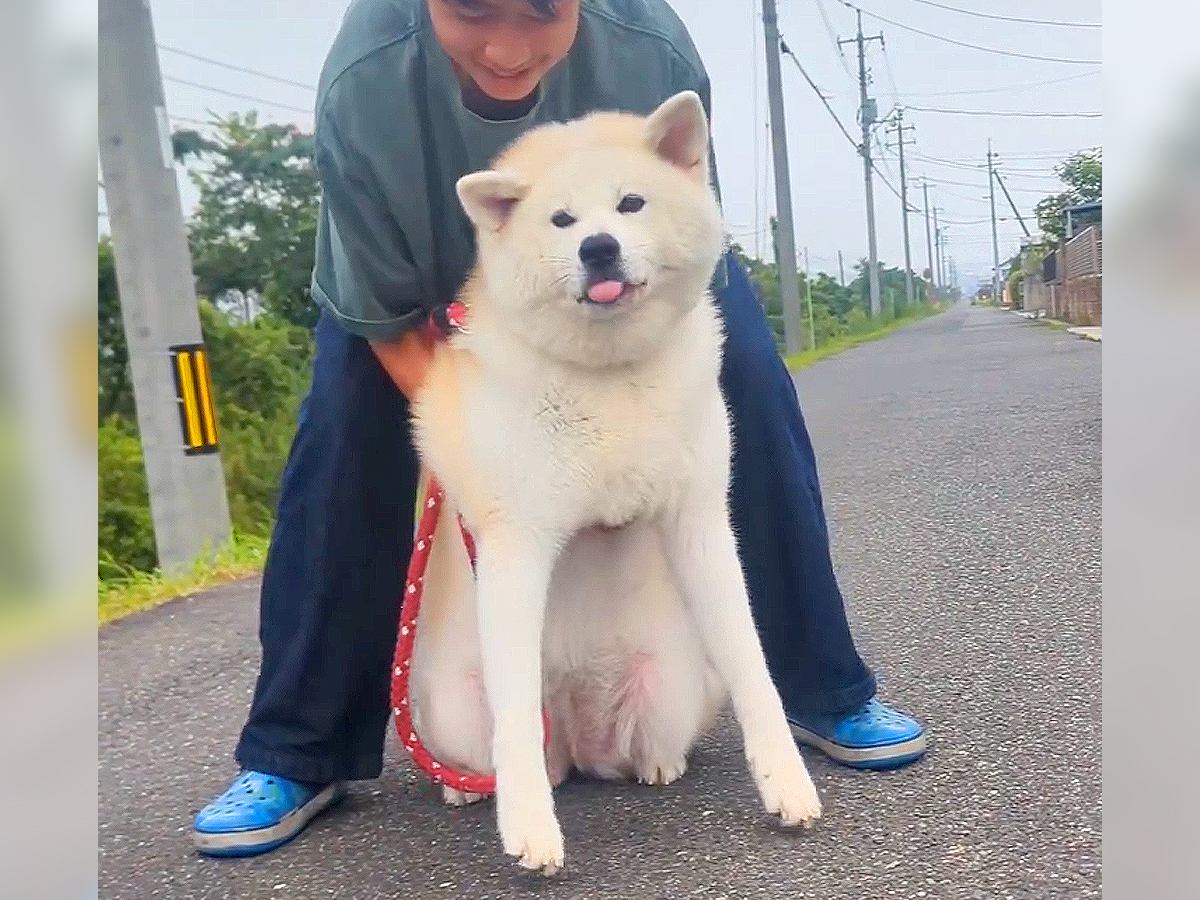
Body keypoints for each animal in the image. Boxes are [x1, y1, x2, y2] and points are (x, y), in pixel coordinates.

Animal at [408, 90, 820, 873]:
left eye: (631, 203)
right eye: (561, 220)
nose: (597, 247)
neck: (610, 378)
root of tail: (575, 742)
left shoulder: (700, 522)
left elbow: (756, 669)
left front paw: (787, 782)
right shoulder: (515, 545)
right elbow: (514, 719)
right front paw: (529, 828)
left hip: (678, 682)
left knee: (652, 740)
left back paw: (659, 764)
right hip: (444, 697)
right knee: (491, 748)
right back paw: (462, 788)